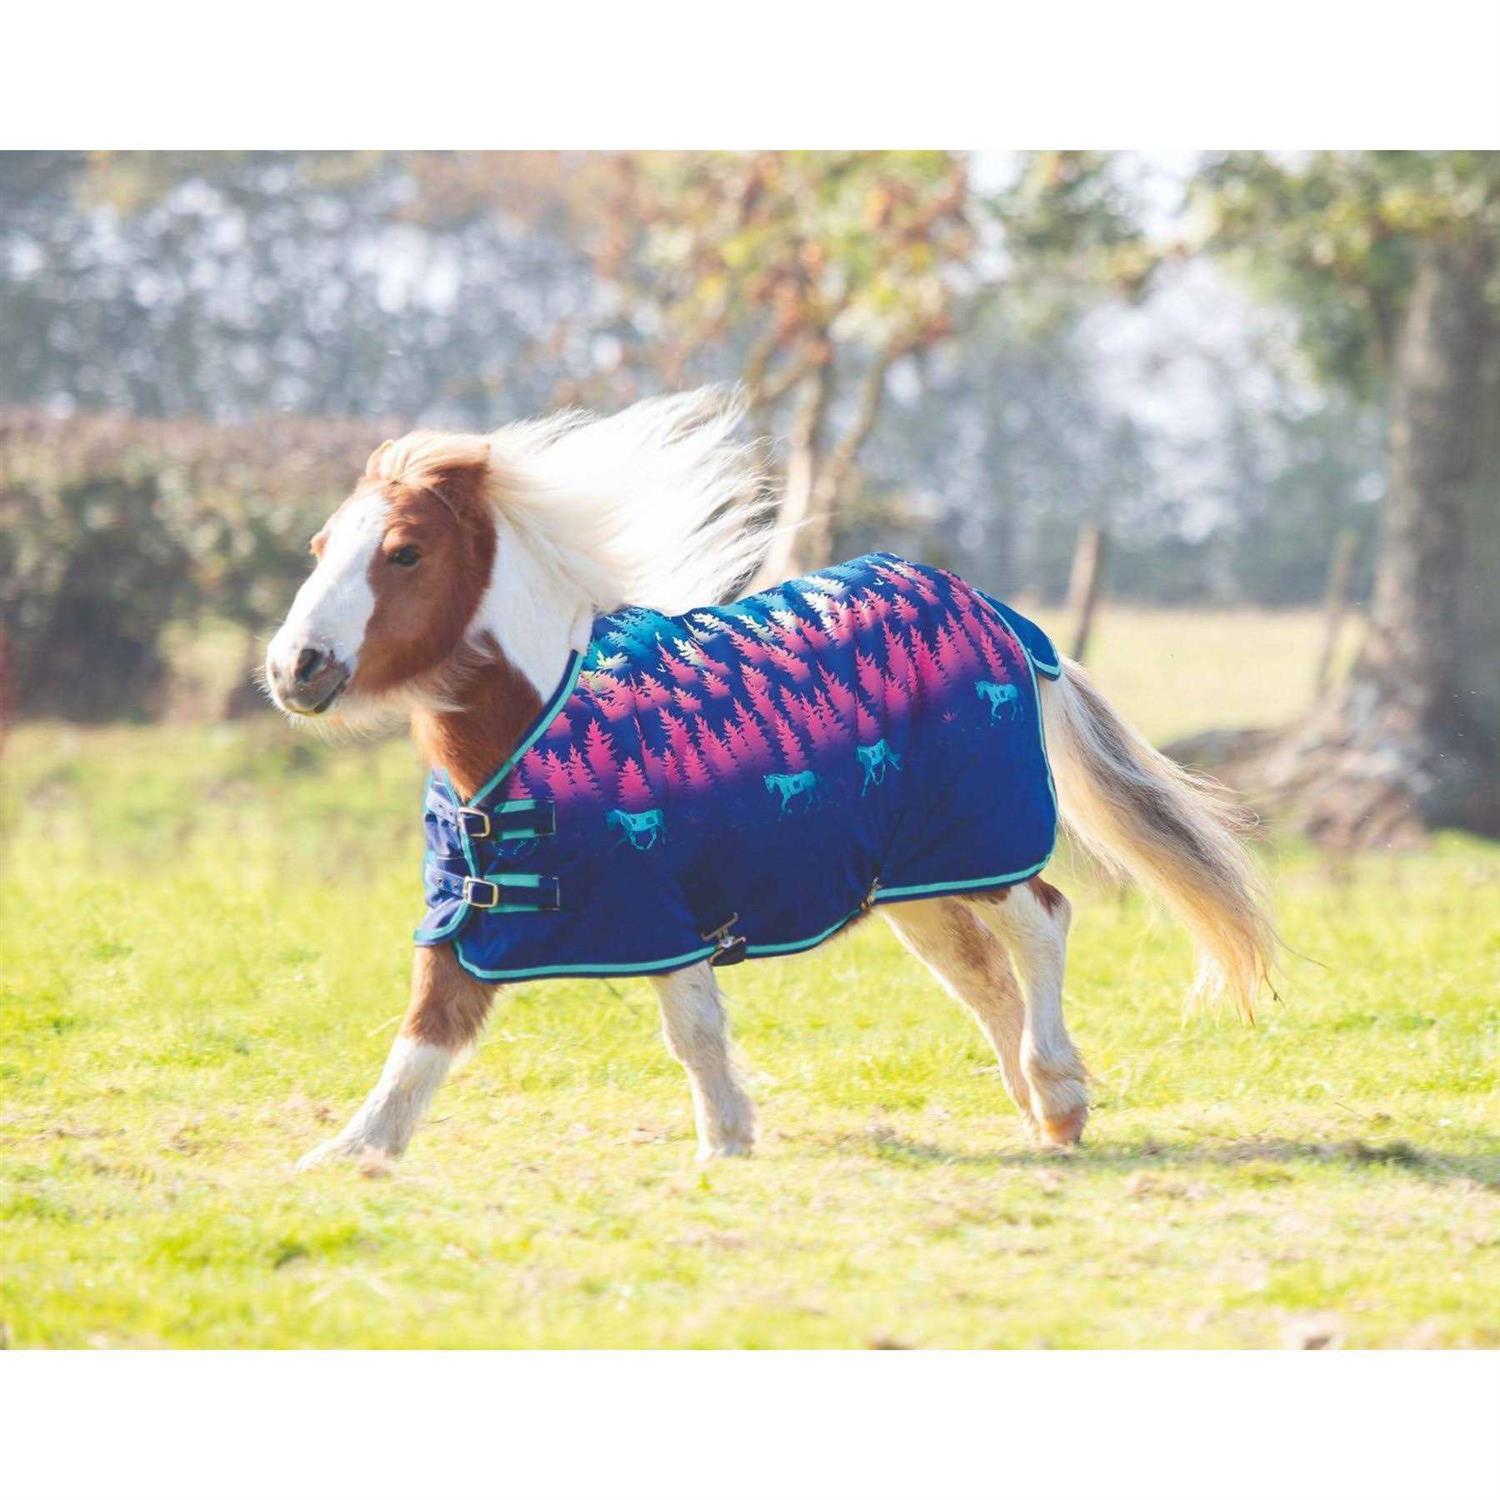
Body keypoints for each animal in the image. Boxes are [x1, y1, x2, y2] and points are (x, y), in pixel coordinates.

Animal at [266, 389, 1275, 1168]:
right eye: (319, 546)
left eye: (405, 551)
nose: (294, 668)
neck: (534, 722)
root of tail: (999, 615)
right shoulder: (476, 911)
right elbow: (424, 1034)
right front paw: (350, 1153)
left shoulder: (655, 904)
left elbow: (692, 1028)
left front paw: (724, 1145)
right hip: (912, 876)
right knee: (982, 974)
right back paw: (1034, 1109)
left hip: (980, 838)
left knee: (1042, 925)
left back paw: (1059, 1096)